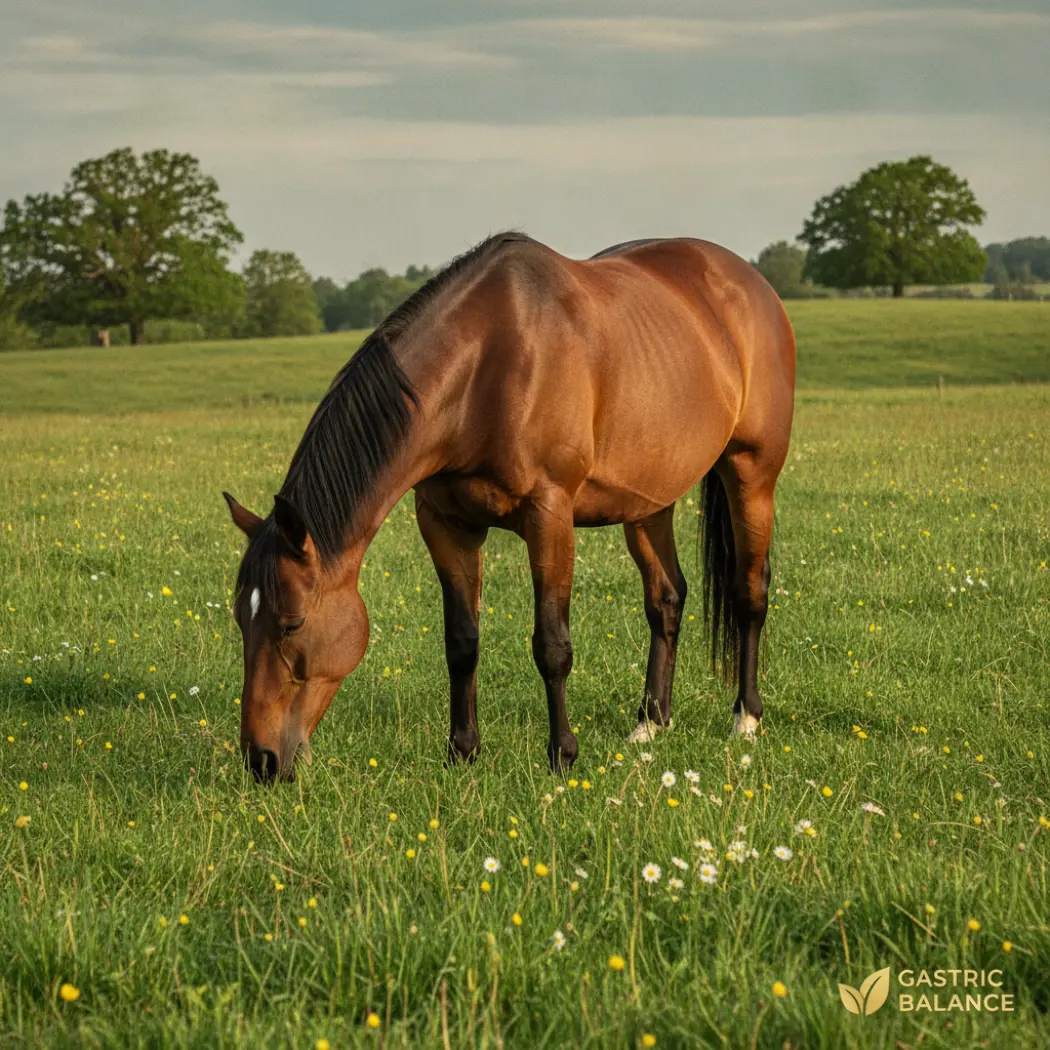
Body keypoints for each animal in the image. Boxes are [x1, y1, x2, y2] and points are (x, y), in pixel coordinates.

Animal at [224, 232, 795, 782]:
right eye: (240, 620)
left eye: (292, 623)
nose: (261, 760)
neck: (486, 369)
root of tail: (749, 282)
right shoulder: (445, 524)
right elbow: (461, 642)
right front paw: (462, 752)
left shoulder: (549, 517)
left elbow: (552, 645)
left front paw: (562, 755)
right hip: (649, 499)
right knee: (666, 599)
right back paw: (650, 723)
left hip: (751, 475)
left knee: (749, 592)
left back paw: (745, 718)